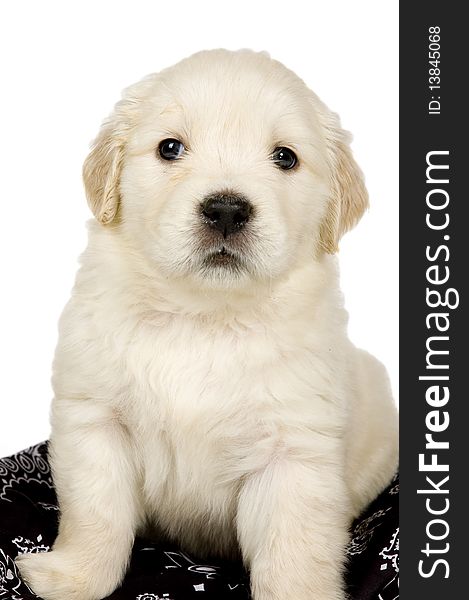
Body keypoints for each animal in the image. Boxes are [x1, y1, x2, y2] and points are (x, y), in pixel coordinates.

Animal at [16, 49, 396, 596]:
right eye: (170, 148)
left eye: (285, 157)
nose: (226, 210)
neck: (203, 317)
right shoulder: (96, 421)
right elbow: (97, 513)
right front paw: (73, 578)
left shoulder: (293, 455)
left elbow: (293, 554)